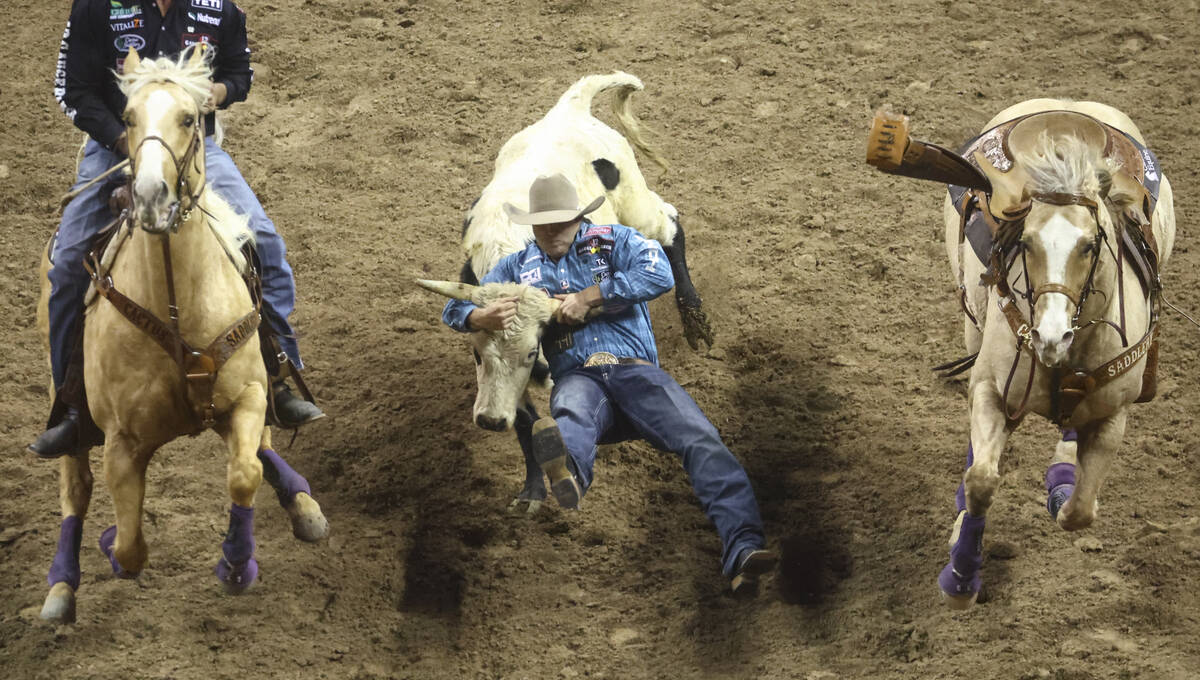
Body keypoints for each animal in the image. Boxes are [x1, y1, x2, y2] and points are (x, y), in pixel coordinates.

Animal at [37, 46, 328, 623]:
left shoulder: (247, 393)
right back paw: (60, 588)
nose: (151, 195)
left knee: (263, 446)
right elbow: (130, 548)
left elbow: (244, 474)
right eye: (128, 118)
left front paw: (236, 566)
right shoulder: (122, 445)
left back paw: (303, 505)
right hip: (68, 406)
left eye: (190, 118)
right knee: (75, 487)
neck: (176, 306)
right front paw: (110, 543)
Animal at [868, 98, 1176, 609]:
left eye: (1090, 245)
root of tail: (1069, 104)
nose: (1051, 337)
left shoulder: (1113, 416)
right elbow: (981, 480)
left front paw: (1064, 490)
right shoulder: (992, 391)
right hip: (972, 331)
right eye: (1026, 242)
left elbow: (1080, 511)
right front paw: (960, 576)